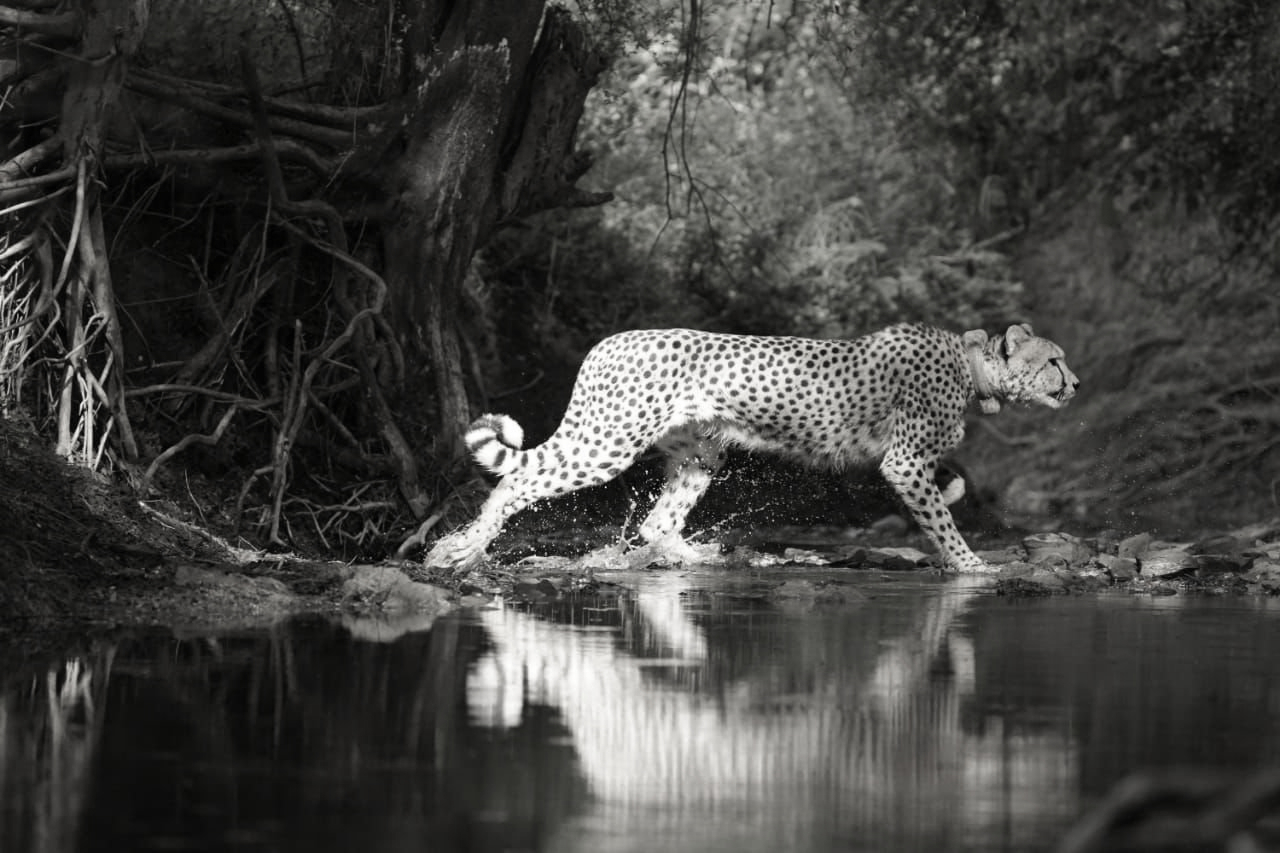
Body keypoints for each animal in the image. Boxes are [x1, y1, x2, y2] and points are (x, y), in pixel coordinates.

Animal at [426, 322, 1078, 573]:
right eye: (1053, 360)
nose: (1075, 384)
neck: (973, 370)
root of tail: (609, 342)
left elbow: (950, 491)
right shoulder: (903, 461)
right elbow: (941, 521)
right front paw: (971, 565)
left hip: (700, 453)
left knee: (657, 522)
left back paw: (698, 556)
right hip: (609, 439)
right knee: (518, 481)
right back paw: (461, 549)